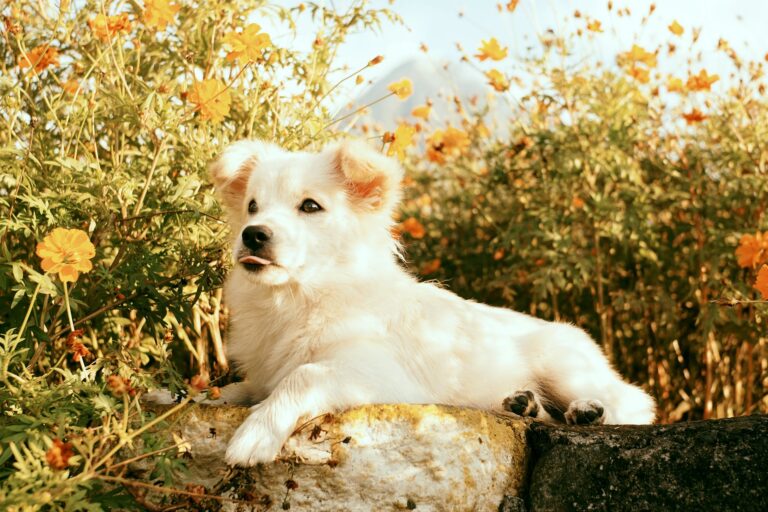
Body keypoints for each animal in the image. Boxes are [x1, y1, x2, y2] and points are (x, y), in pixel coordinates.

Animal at [210, 138, 656, 466]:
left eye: (310, 206)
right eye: (252, 206)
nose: (252, 234)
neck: (302, 295)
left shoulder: (380, 377)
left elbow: (305, 375)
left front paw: (256, 434)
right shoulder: (262, 374)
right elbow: (236, 388)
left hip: (564, 366)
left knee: (633, 403)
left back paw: (587, 410)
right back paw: (523, 404)